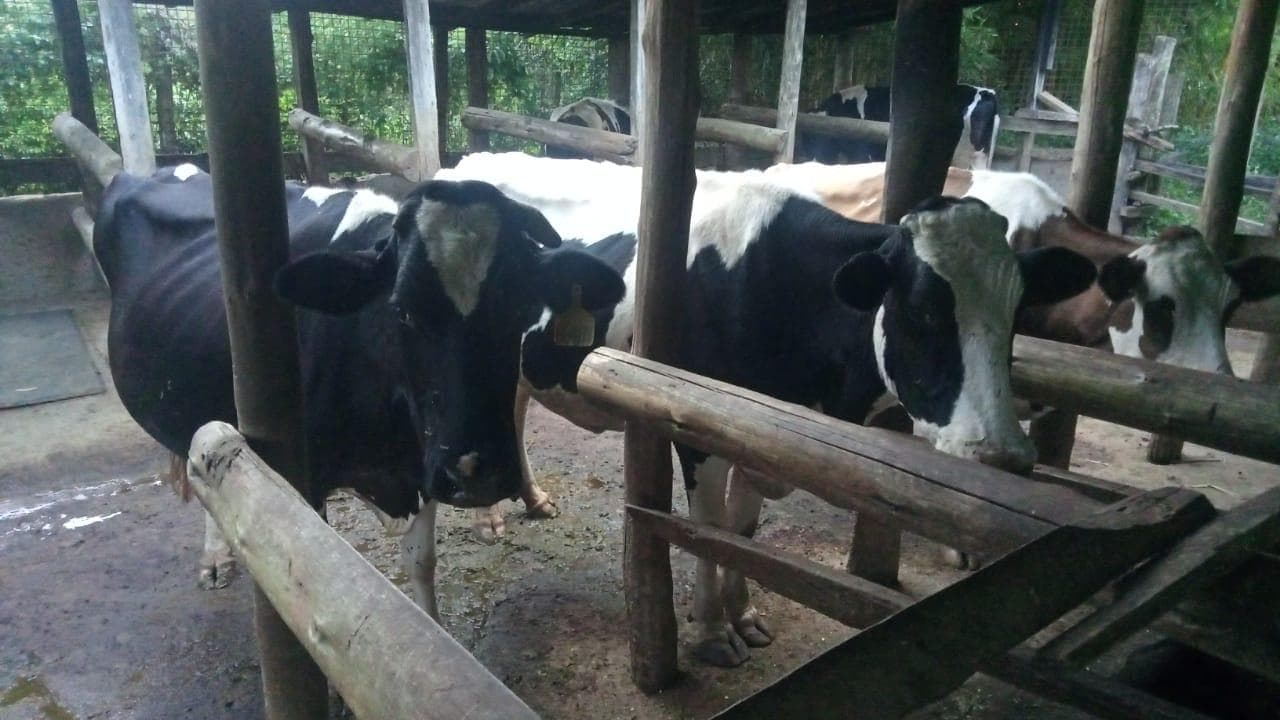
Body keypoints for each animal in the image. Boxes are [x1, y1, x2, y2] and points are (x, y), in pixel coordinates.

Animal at [93, 163, 626, 616]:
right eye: (402, 310)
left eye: (522, 308)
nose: (479, 473)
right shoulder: (305, 479)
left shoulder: (421, 463)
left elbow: (421, 563)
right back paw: (213, 560)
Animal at [442, 152, 1099, 666]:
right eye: (922, 310)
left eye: (1017, 311)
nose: (1003, 455)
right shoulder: (691, 422)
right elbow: (708, 530)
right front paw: (711, 634)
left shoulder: (760, 433)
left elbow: (742, 529)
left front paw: (744, 616)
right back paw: (486, 514)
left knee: (514, 408)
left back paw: (531, 498)